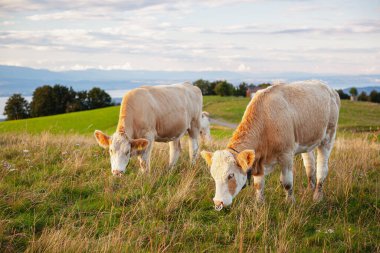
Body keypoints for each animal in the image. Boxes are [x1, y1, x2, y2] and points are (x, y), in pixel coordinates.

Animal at [200, 80, 340, 210]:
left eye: (230, 175)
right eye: (213, 175)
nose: (218, 202)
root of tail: (328, 87)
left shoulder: (286, 154)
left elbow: (287, 182)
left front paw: (290, 203)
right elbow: (258, 184)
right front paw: (259, 204)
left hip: (328, 136)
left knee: (322, 168)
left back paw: (317, 196)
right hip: (307, 141)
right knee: (310, 166)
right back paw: (309, 190)